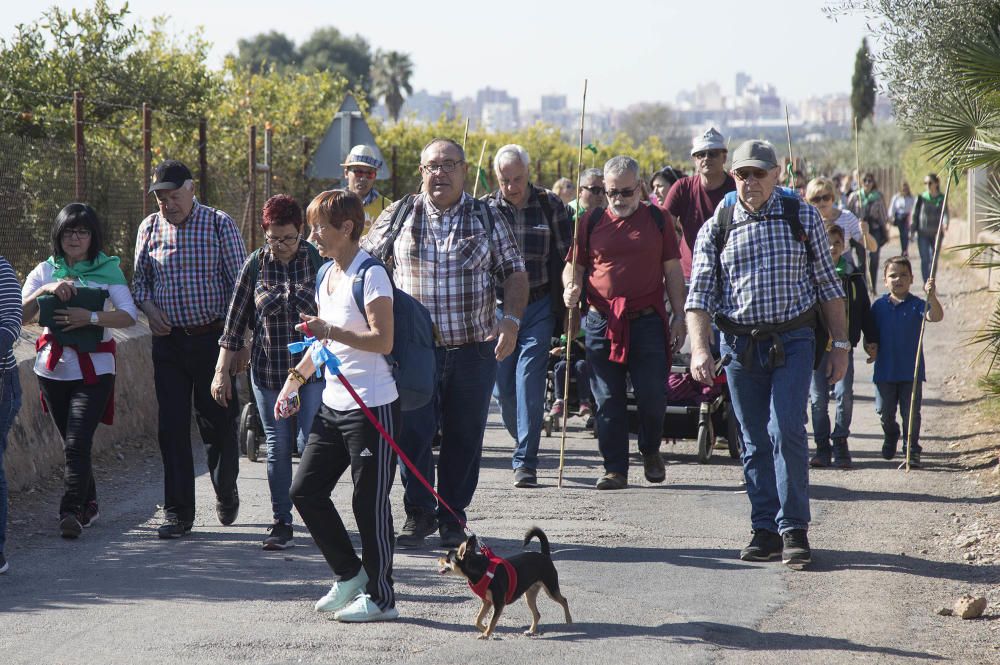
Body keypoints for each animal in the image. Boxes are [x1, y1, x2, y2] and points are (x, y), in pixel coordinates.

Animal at [436, 524, 572, 640]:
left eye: (447, 559)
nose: (438, 559)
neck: (481, 570)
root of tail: (545, 555)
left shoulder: (498, 604)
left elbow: (492, 621)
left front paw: (486, 634)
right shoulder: (487, 602)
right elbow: (477, 619)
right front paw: (485, 629)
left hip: (551, 589)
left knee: (564, 600)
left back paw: (569, 620)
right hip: (530, 595)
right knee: (537, 614)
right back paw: (531, 631)